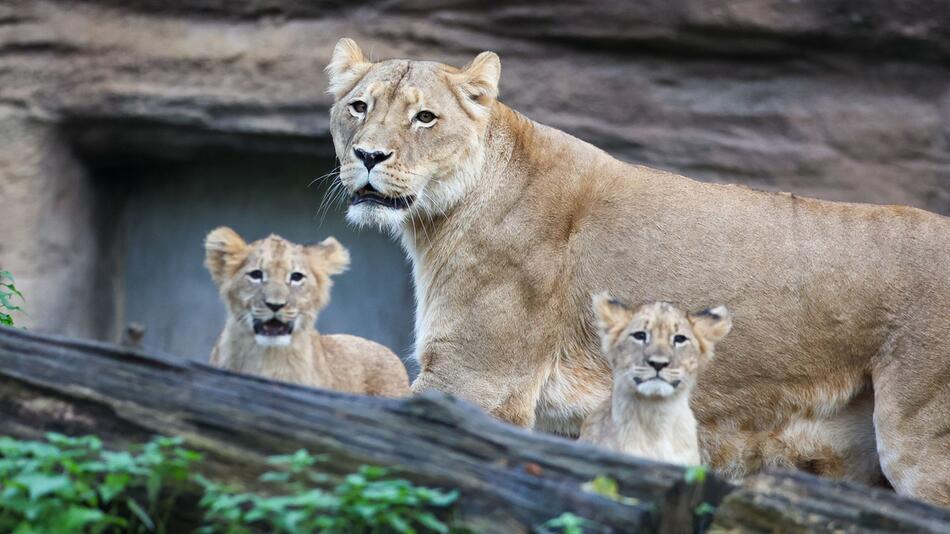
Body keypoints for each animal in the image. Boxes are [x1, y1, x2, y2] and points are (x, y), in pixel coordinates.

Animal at [326, 37, 950, 506]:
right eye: (359, 107)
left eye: (424, 118)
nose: (368, 157)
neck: (439, 218)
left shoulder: (475, 380)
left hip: (920, 441)